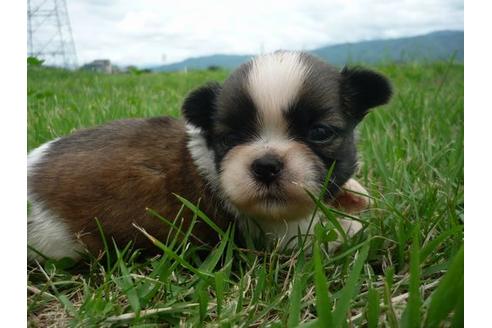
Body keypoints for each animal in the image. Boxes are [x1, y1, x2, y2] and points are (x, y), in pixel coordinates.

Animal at [26, 51, 390, 262]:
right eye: (229, 138)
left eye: (320, 133)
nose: (266, 166)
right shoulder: (286, 237)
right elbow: (345, 232)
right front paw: (358, 223)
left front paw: (355, 193)